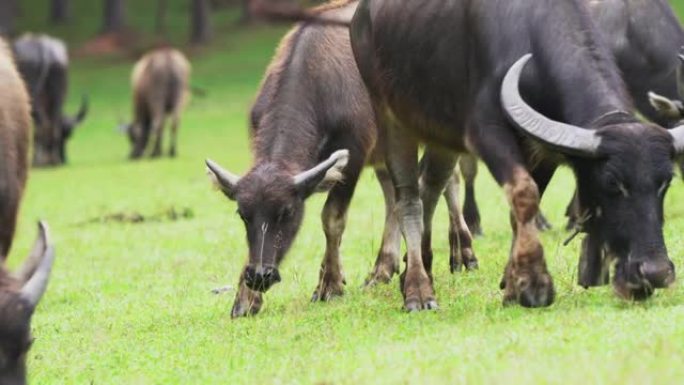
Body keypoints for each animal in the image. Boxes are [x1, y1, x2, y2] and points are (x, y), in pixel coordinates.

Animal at [12, 35, 88, 167]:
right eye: (65, 135)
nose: (65, 159)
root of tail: (45, 48)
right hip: (58, 96)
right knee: (53, 125)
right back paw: (53, 160)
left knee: (43, 126)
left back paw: (38, 161)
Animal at [206, 0, 478, 316]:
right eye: (243, 215)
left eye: (287, 212)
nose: (260, 275)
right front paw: (245, 299)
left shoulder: (354, 154)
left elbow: (332, 217)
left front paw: (329, 284)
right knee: (395, 197)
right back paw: (382, 269)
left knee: (449, 181)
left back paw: (463, 252)